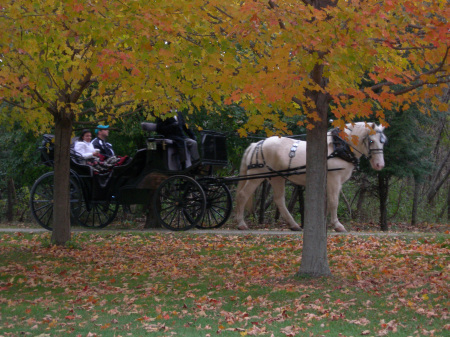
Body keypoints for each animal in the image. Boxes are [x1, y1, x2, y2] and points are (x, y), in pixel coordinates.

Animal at [236, 122, 386, 231]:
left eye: (383, 142)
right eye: (371, 141)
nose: (380, 165)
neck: (339, 148)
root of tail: (257, 144)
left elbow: (327, 203)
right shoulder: (334, 179)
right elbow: (334, 201)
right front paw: (337, 225)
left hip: (277, 177)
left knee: (279, 200)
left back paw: (294, 225)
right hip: (256, 175)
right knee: (243, 195)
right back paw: (241, 223)